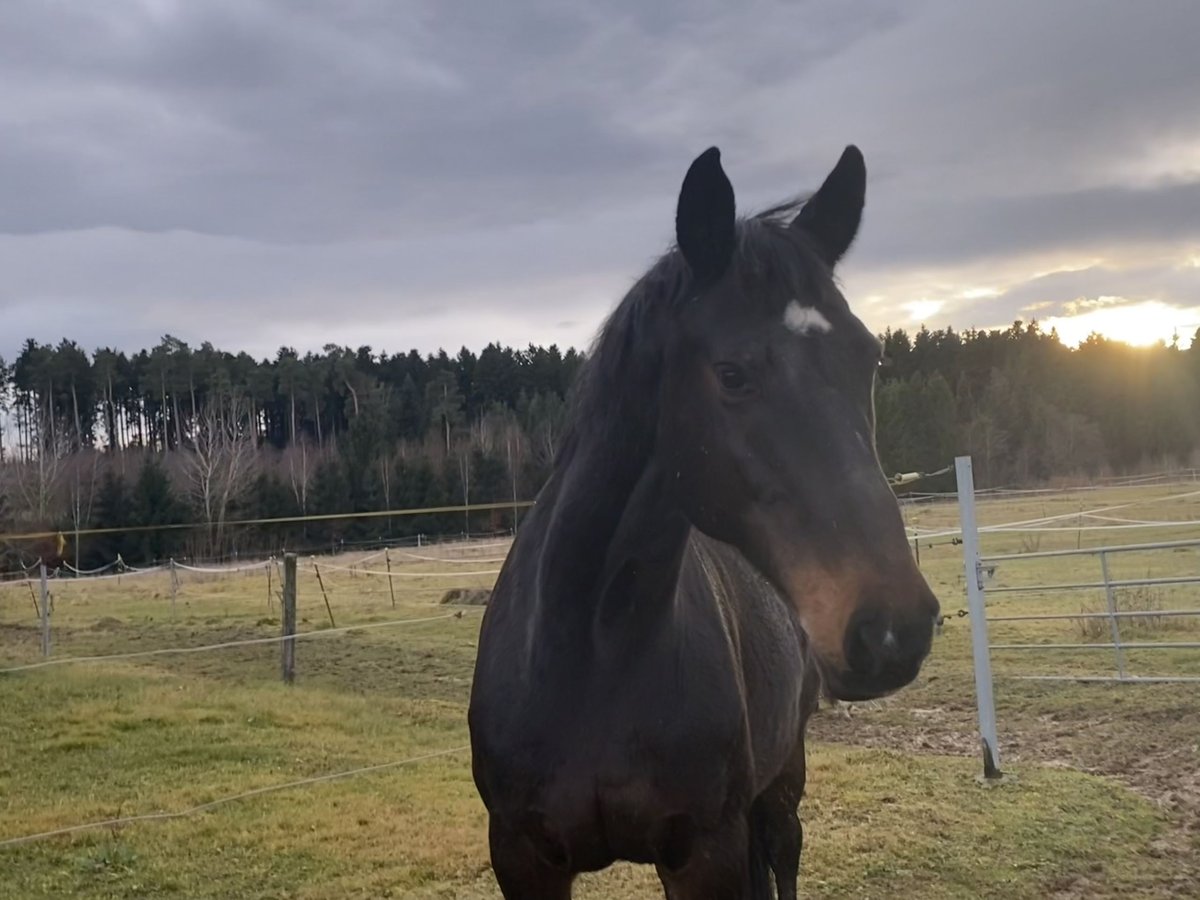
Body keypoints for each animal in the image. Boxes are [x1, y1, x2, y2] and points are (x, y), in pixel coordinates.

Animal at [468, 145, 941, 899]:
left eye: (868, 357)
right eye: (732, 373)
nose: (892, 628)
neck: (590, 652)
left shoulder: (704, 852)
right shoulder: (522, 857)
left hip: (780, 783)